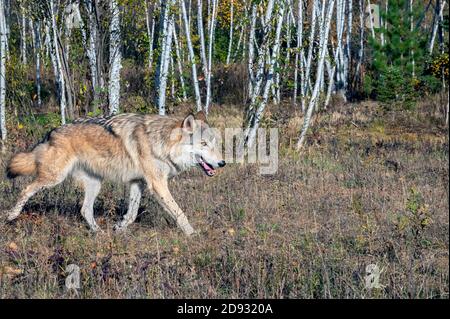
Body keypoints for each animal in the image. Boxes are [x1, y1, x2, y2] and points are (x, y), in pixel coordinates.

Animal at [4, 111, 225, 236]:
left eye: (214, 143)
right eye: (203, 144)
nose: (222, 163)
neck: (163, 143)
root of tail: (51, 132)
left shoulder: (138, 183)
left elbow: (132, 214)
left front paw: (119, 228)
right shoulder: (157, 184)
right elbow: (179, 212)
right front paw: (192, 234)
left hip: (95, 184)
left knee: (85, 210)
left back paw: (99, 233)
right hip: (53, 178)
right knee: (26, 189)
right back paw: (10, 216)